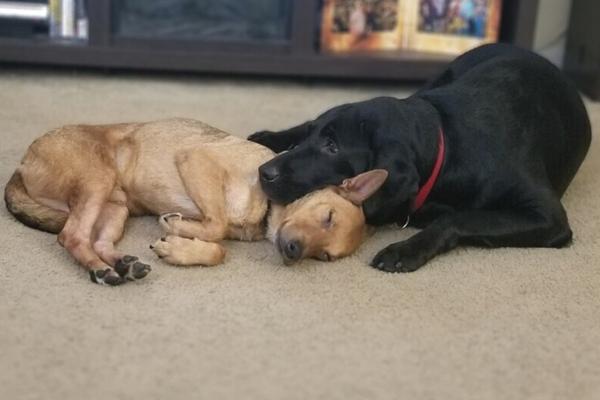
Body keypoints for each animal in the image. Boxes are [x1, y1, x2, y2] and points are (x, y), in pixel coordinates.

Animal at [3, 118, 390, 284]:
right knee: (71, 236)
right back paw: (101, 270)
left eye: (324, 257)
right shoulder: (196, 159)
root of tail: (21, 166)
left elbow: (219, 247)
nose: (293, 252)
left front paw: (180, 246)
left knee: (94, 239)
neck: (264, 210)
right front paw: (177, 228)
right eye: (327, 216)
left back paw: (122, 264)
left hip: (116, 207)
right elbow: (216, 226)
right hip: (96, 182)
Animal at [248, 45, 592, 274]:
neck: (448, 144)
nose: (264, 172)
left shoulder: (548, 217)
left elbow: (458, 218)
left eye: (332, 147)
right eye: (317, 139)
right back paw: (267, 136)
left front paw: (406, 249)